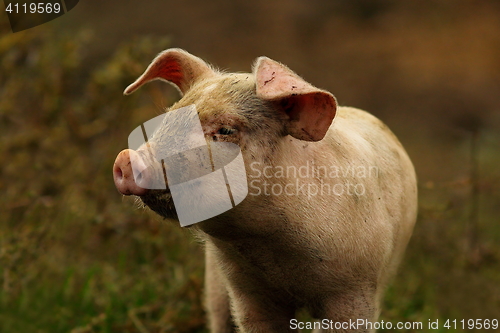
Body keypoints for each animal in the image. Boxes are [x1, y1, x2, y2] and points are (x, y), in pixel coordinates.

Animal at [113, 47, 418, 332]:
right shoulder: (246, 291)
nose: (127, 158)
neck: (270, 250)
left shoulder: (356, 287)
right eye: (168, 119)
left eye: (226, 130)